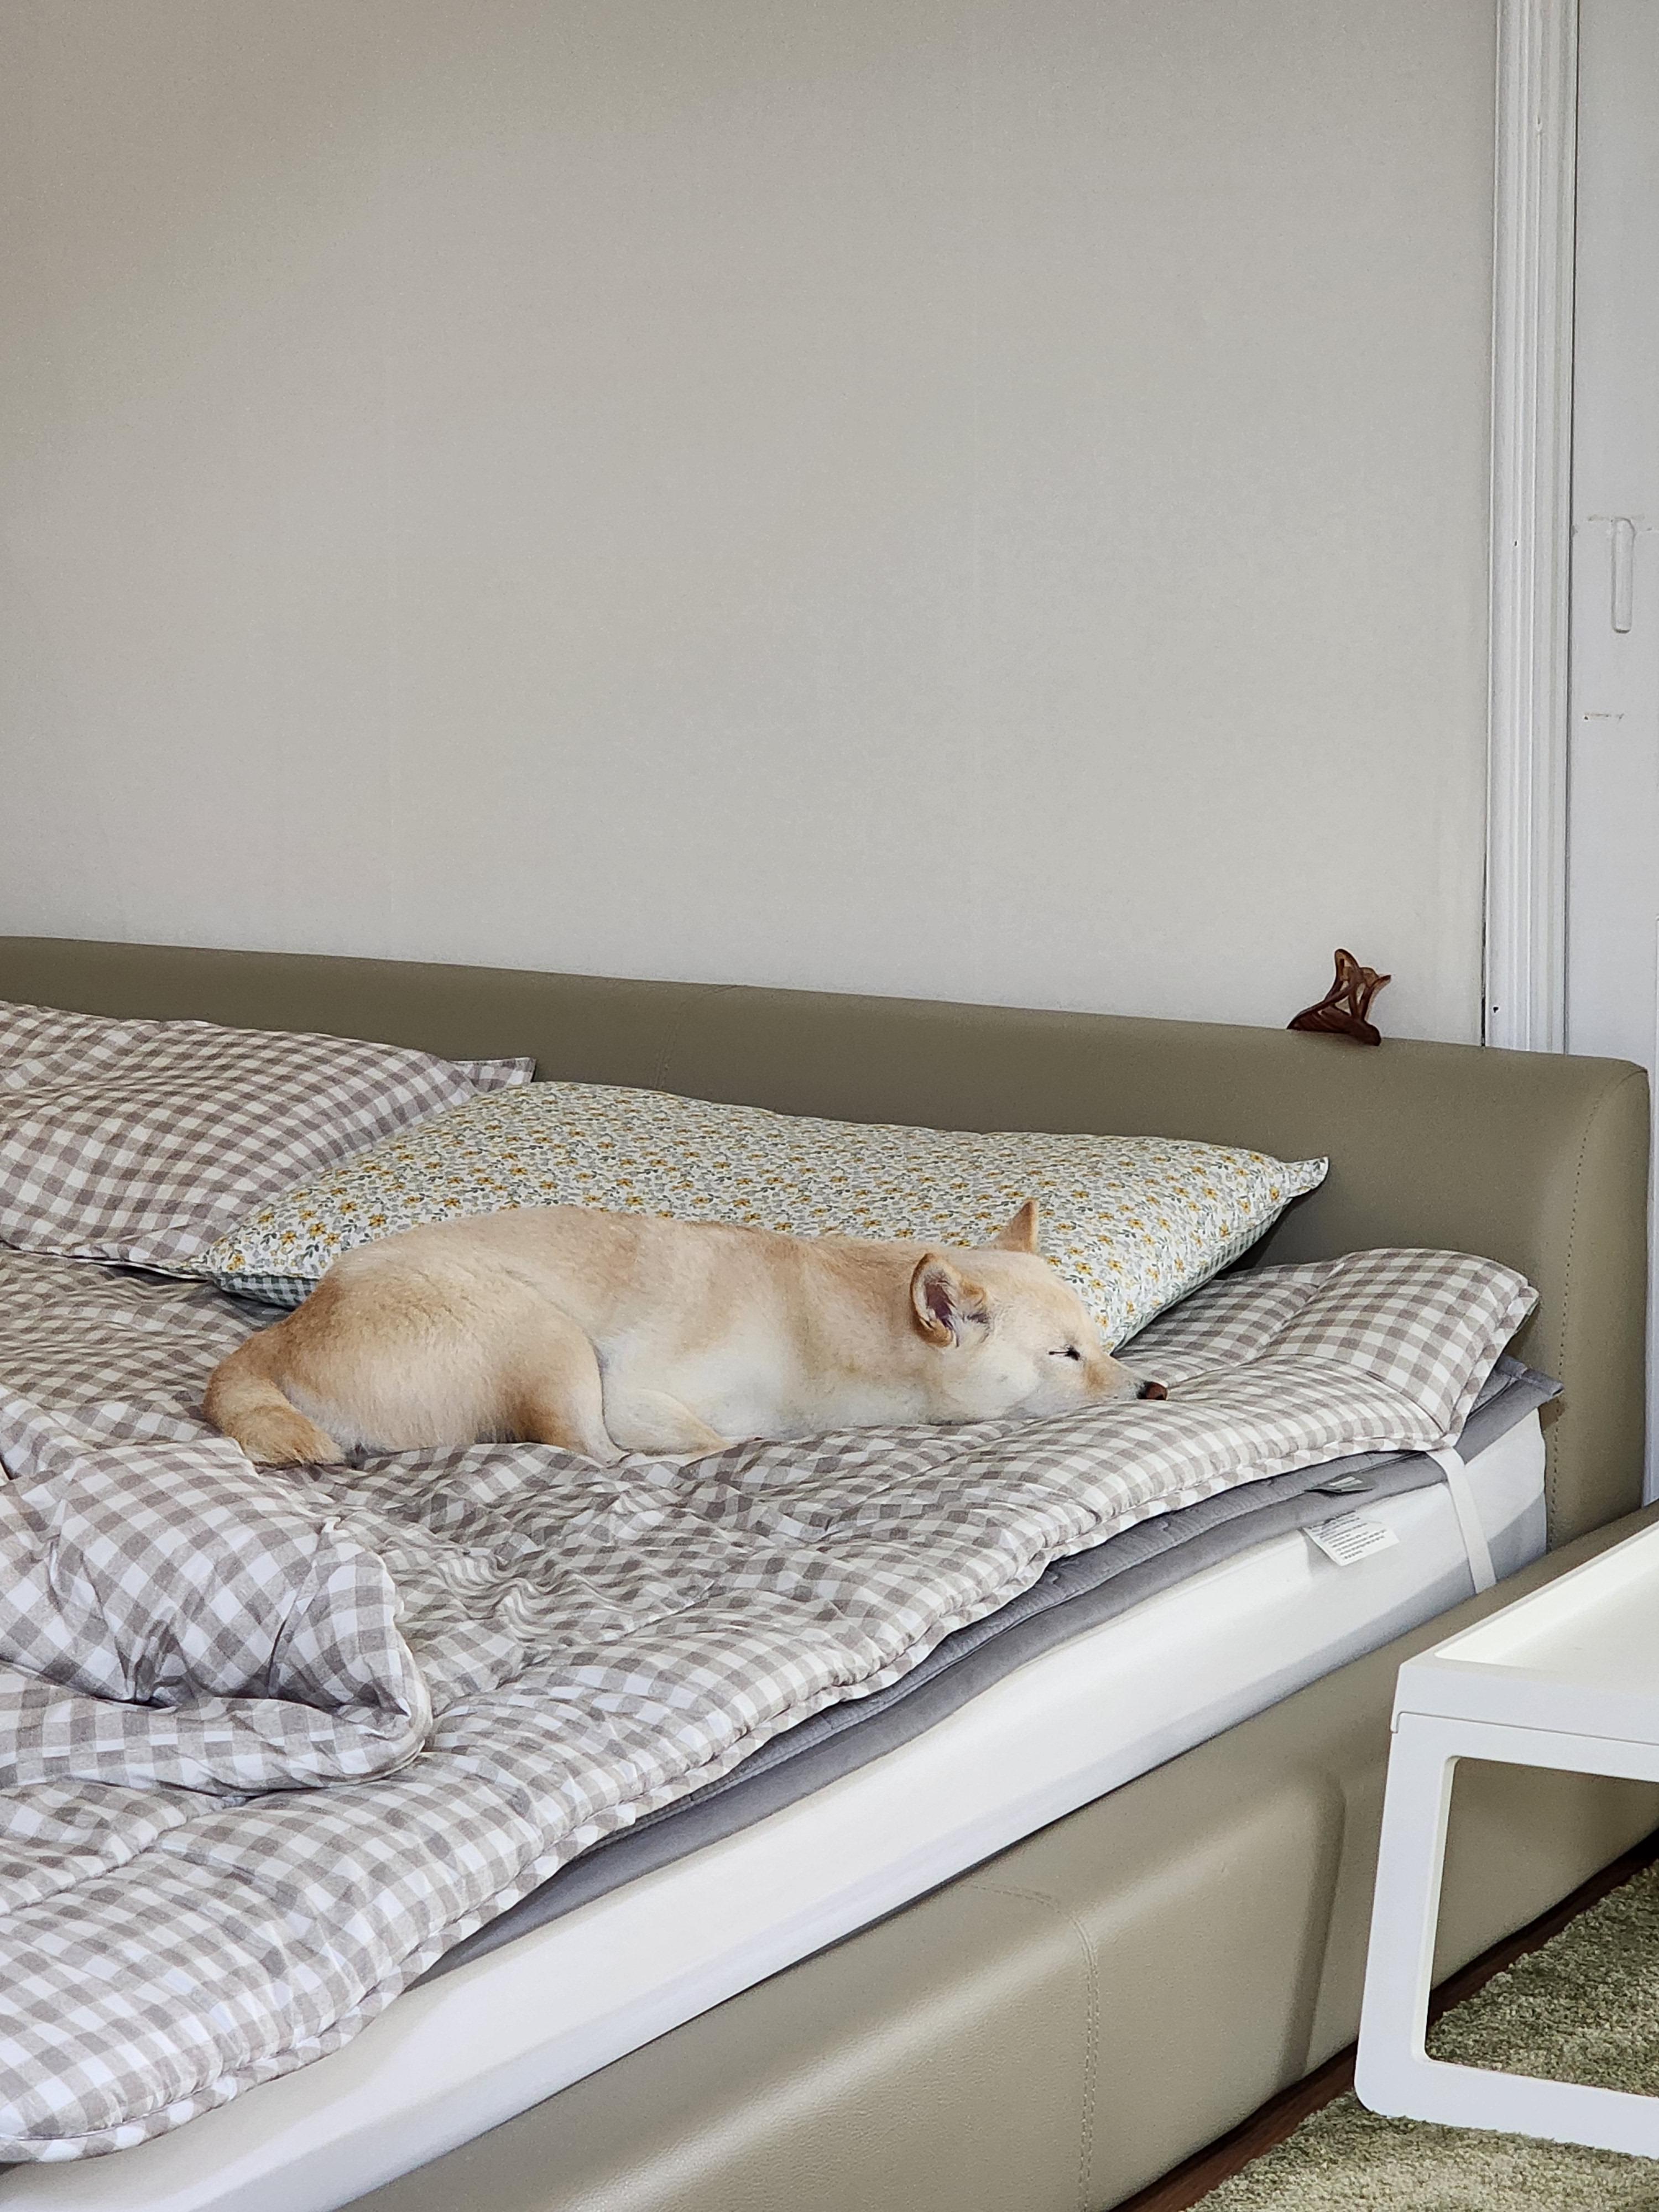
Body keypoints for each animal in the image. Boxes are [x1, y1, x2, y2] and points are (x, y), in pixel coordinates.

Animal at [203, 1197, 1164, 1467]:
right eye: (1064, 1356)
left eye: (1102, 1340)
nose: (1156, 1390)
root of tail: (283, 1334)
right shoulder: (638, 1395)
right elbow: (704, 1442)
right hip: (547, 1335)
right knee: (585, 1450)